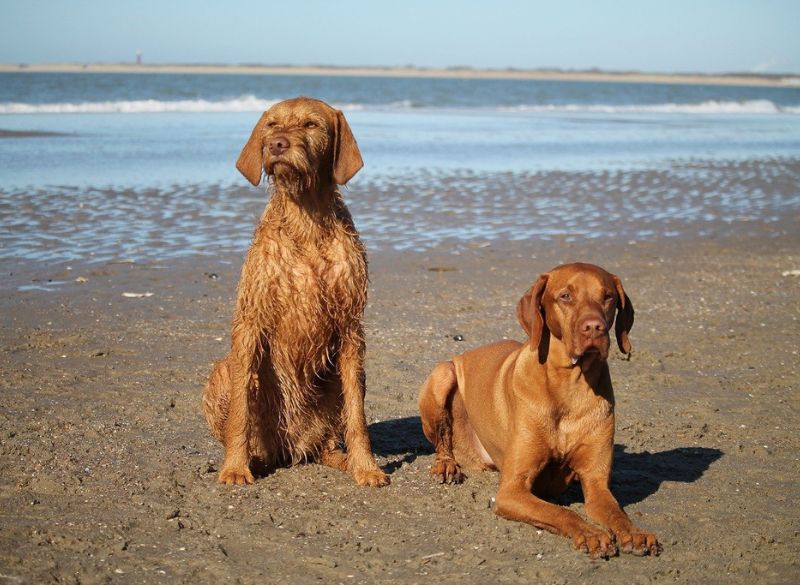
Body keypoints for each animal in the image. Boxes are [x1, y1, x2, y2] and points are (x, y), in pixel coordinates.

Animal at [205, 97, 390, 488]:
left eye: (311, 125)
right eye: (272, 125)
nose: (276, 144)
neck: (306, 222)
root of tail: (290, 449)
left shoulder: (350, 327)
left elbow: (357, 414)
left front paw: (366, 466)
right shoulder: (251, 321)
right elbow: (240, 411)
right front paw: (234, 467)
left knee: (328, 439)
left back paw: (343, 459)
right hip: (223, 372)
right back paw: (251, 459)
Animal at [418, 262, 664, 556]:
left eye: (608, 297)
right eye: (565, 296)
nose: (595, 327)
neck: (569, 387)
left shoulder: (596, 482)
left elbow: (616, 513)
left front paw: (635, 534)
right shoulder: (511, 490)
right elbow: (561, 512)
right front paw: (591, 533)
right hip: (443, 373)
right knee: (443, 440)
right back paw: (446, 466)